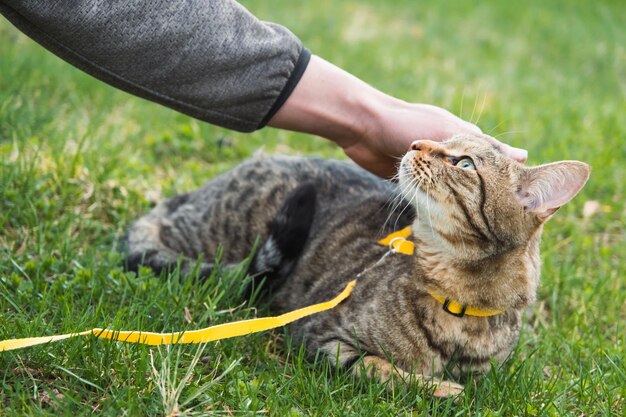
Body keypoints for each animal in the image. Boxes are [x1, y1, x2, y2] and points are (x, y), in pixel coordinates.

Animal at [124, 135, 588, 394]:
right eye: (444, 139)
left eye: (464, 163)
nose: (416, 142)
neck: (457, 301)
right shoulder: (321, 335)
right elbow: (379, 368)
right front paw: (439, 388)